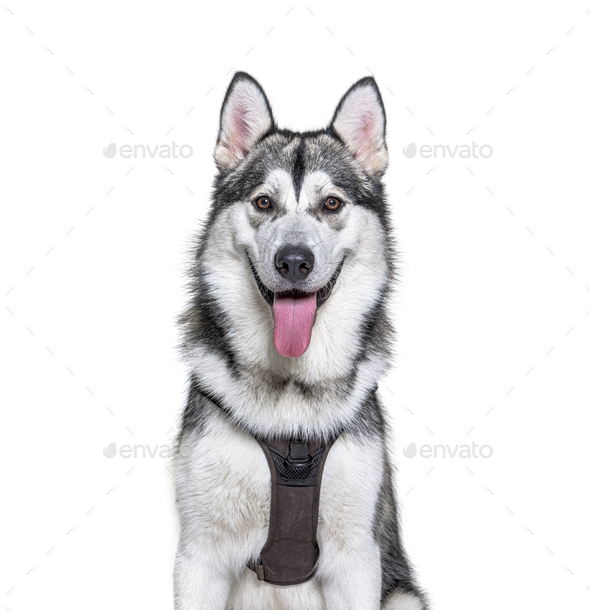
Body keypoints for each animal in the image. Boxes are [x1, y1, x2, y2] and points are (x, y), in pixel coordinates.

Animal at [173, 72, 428, 608]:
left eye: (331, 203)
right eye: (263, 202)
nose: (293, 260)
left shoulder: (358, 560)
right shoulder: (199, 557)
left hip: (402, 595)